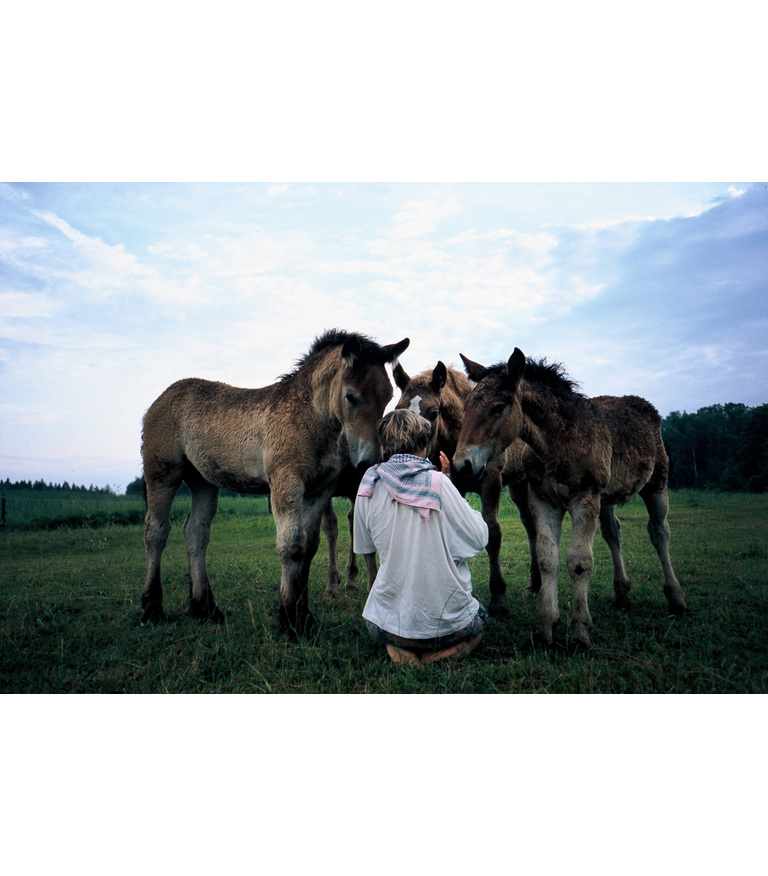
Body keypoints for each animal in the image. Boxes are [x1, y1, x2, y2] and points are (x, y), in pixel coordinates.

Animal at [141, 328, 412, 636]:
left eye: (388, 397)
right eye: (351, 396)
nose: (370, 461)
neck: (307, 416)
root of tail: (160, 399)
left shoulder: (319, 491)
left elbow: (309, 548)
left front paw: (304, 615)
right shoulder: (286, 482)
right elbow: (291, 547)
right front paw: (290, 619)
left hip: (203, 482)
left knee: (196, 533)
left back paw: (206, 609)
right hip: (162, 474)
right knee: (156, 531)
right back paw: (152, 608)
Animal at [392, 356, 536, 616]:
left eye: (434, 412)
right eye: (399, 409)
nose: (407, 448)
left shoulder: (492, 483)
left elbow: (493, 533)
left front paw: (498, 597)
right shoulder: (456, 486)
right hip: (518, 486)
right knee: (530, 525)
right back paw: (535, 583)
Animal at [452, 350, 688, 652]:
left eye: (499, 407)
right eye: (467, 407)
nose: (462, 466)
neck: (557, 443)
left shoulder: (584, 498)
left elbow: (579, 561)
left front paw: (579, 632)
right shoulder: (544, 501)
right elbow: (547, 558)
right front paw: (546, 629)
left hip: (656, 485)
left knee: (659, 533)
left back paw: (676, 599)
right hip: (606, 498)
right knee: (613, 533)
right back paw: (622, 596)